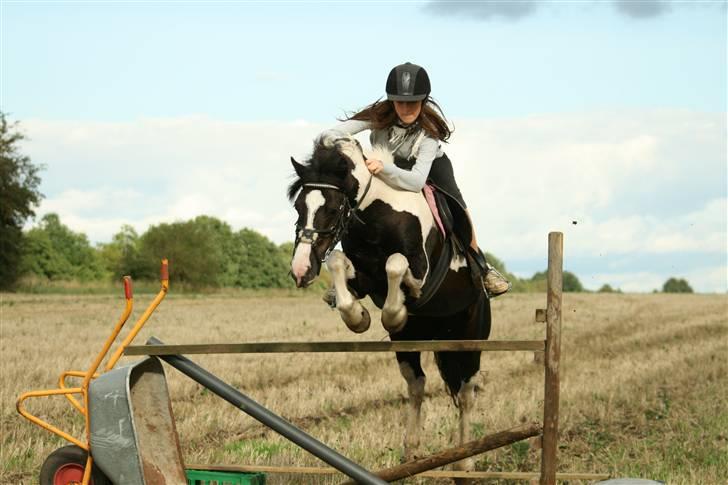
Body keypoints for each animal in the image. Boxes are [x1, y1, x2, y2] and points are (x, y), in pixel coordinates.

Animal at [288, 136, 492, 468]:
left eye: (332, 208)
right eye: (298, 206)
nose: (300, 269)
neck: (378, 216)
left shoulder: (420, 273)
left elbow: (396, 265)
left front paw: (393, 315)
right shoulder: (365, 278)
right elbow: (337, 262)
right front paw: (358, 317)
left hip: (469, 339)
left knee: (465, 392)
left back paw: (464, 461)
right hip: (411, 342)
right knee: (417, 384)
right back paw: (411, 452)